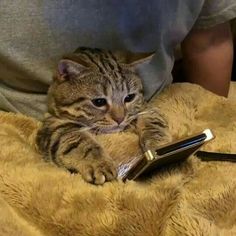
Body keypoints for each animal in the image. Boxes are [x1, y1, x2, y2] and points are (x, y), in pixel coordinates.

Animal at [36, 47, 171, 184]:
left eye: (129, 97)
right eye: (99, 102)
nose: (120, 119)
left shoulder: (145, 107)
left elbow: (153, 121)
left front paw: (158, 146)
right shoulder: (53, 125)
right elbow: (79, 141)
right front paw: (98, 163)